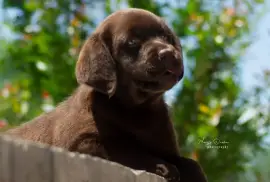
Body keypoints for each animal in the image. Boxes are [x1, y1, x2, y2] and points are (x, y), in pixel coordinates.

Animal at [4, 8, 207, 182]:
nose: (169, 53)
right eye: (132, 42)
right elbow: (123, 150)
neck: (139, 108)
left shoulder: (166, 146)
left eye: (166, 37)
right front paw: (163, 167)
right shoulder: (82, 143)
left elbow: (193, 165)